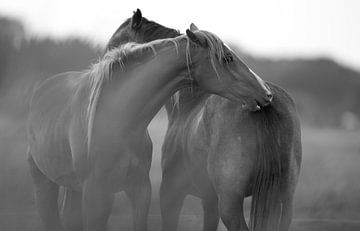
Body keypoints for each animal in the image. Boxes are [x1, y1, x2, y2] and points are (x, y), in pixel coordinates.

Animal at [109, 9, 300, 231]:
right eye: (228, 57)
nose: (265, 94)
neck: (188, 104)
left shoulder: (170, 196)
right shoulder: (209, 201)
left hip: (230, 204)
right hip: (283, 201)